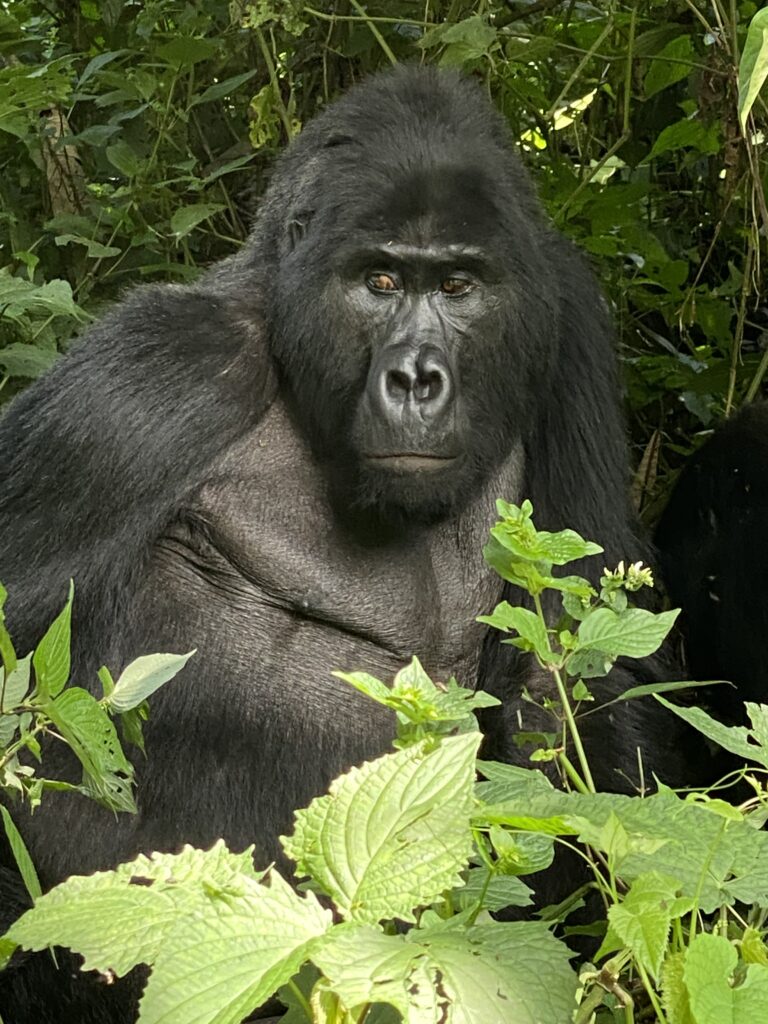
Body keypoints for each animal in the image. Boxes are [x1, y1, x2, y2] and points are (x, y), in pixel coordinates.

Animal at [0, 68, 696, 1019]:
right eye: (379, 280)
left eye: (458, 286)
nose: (416, 378)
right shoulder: (146, 383)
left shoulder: (568, 321)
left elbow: (591, 660)